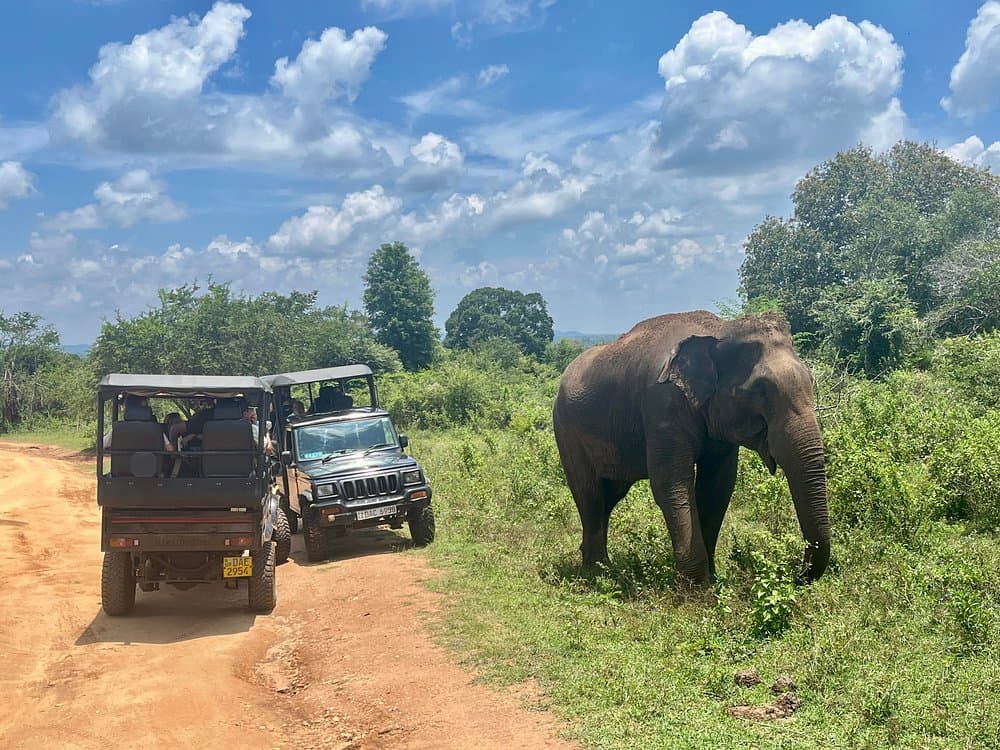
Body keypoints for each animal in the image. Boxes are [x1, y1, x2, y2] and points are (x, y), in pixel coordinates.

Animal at [552, 310, 830, 587]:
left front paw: (712, 580)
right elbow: (672, 485)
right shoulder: (663, 405)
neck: (719, 330)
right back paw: (597, 573)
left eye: (811, 381)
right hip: (566, 431)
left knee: (610, 494)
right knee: (589, 493)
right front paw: (697, 589)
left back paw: (598, 565)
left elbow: (717, 487)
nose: (796, 576)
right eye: (760, 390)